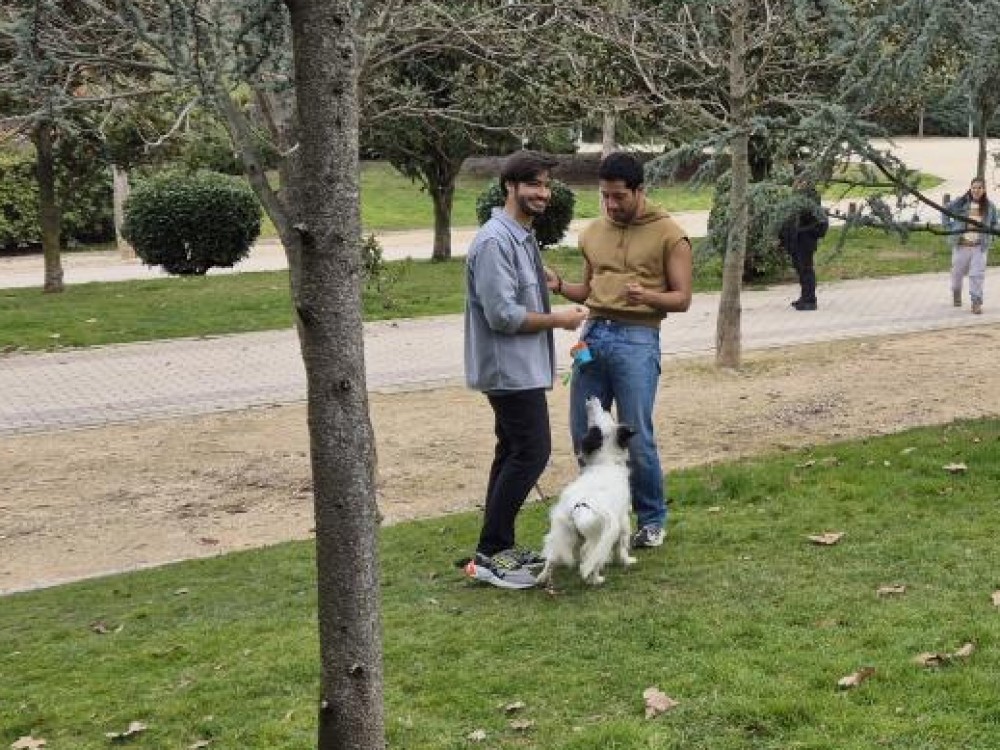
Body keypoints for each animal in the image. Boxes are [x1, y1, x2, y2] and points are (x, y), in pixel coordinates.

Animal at [536, 397, 636, 586]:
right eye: (607, 413)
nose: (591, 397)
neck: (605, 462)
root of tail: (579, 506)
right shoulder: (623, 519)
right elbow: (623, 544)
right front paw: (627, 561)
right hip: (599, 537)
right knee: (591, 560)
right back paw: (597, 579)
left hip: (562, 533)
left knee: (551, 558)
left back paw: (543, 578)